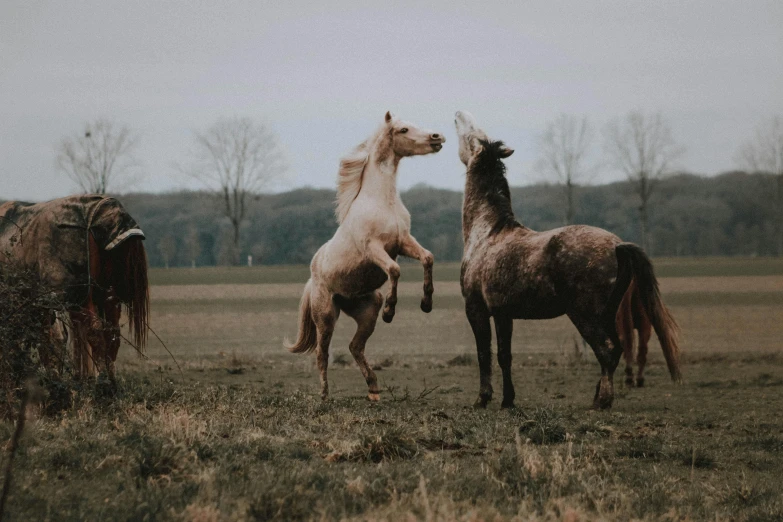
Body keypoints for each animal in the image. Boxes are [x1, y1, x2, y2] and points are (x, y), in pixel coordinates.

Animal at [288, 111, 448, 400]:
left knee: (355, 346)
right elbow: (395, 270)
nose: (437, 137)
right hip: (325, 315)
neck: (382, 201)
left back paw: (373, 388)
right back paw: (325, 395)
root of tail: (312, 278)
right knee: (322, 353)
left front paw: (426, 303)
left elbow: (428, 258)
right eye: (403, 129)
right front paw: (391, 312)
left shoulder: (404, 242)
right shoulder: (374, 249)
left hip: (366, 311)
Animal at [456, 109, 684, 408]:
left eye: (471, 135)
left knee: (607, 350)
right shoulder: (504, 314)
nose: (458, 114)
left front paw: (483, 399)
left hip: (585, 314)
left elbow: (484, 355)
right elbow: (505, 356)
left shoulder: (477, 309)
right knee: (617, 349)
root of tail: (617, 245)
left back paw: (602, 401)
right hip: (607, 314)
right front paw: (508, 401)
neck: (488, 231)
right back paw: (598, 396)